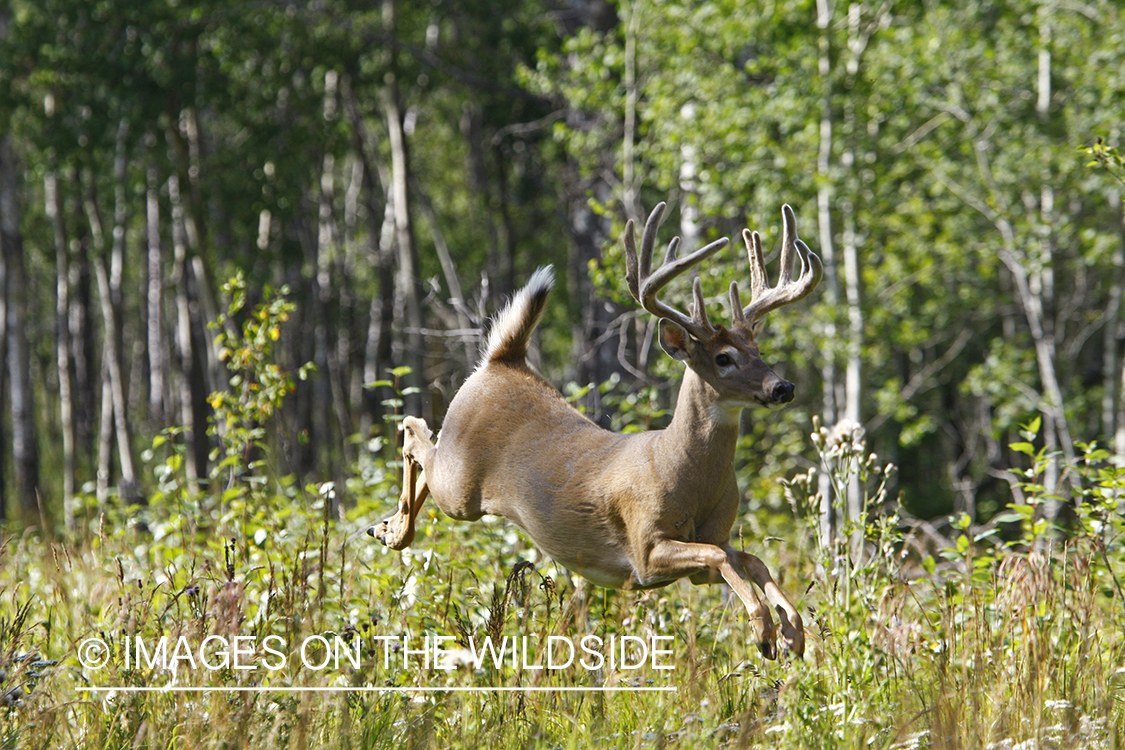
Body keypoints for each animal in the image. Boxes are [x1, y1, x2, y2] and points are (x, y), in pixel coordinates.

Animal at [373, 202, 823, 661]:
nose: (782, 387)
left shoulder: (707, 548)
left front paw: (793, 632)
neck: (680, 470)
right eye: (724, 358)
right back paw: (393, 531)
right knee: (414, 433)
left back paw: (387, 526)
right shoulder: (646, 549)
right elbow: (721, 557)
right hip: (460, 489)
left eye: (757, 350)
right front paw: (764, 632)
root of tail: (502, 360)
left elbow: (749, 560)